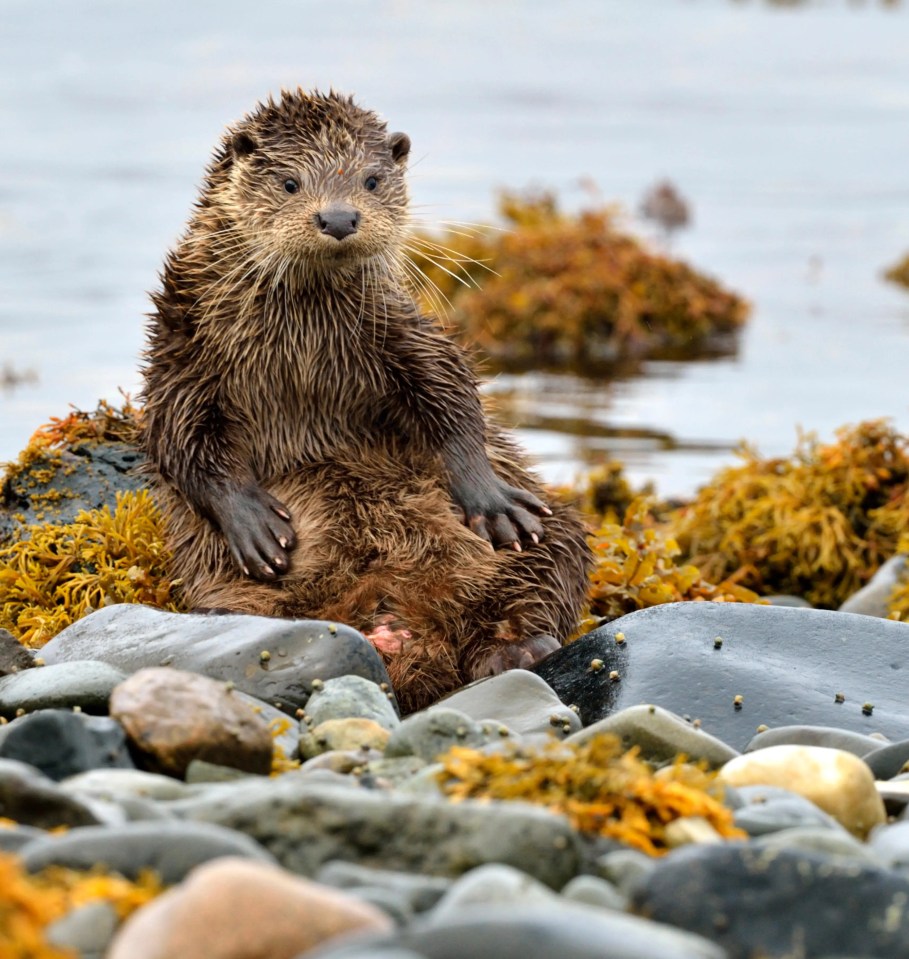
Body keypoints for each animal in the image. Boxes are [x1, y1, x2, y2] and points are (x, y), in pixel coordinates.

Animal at [141, 90, 592, 712]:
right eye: (288, 182)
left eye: (372, 180)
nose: (338, 217)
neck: (301, 348)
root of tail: (396, 622)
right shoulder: (182, 347)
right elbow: (177, 435)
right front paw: (254, 523)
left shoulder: (403, 334)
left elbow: (453, 395)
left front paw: (491, 499)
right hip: (222, 588)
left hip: (557, 536)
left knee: (539, 579)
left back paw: (518, 648)